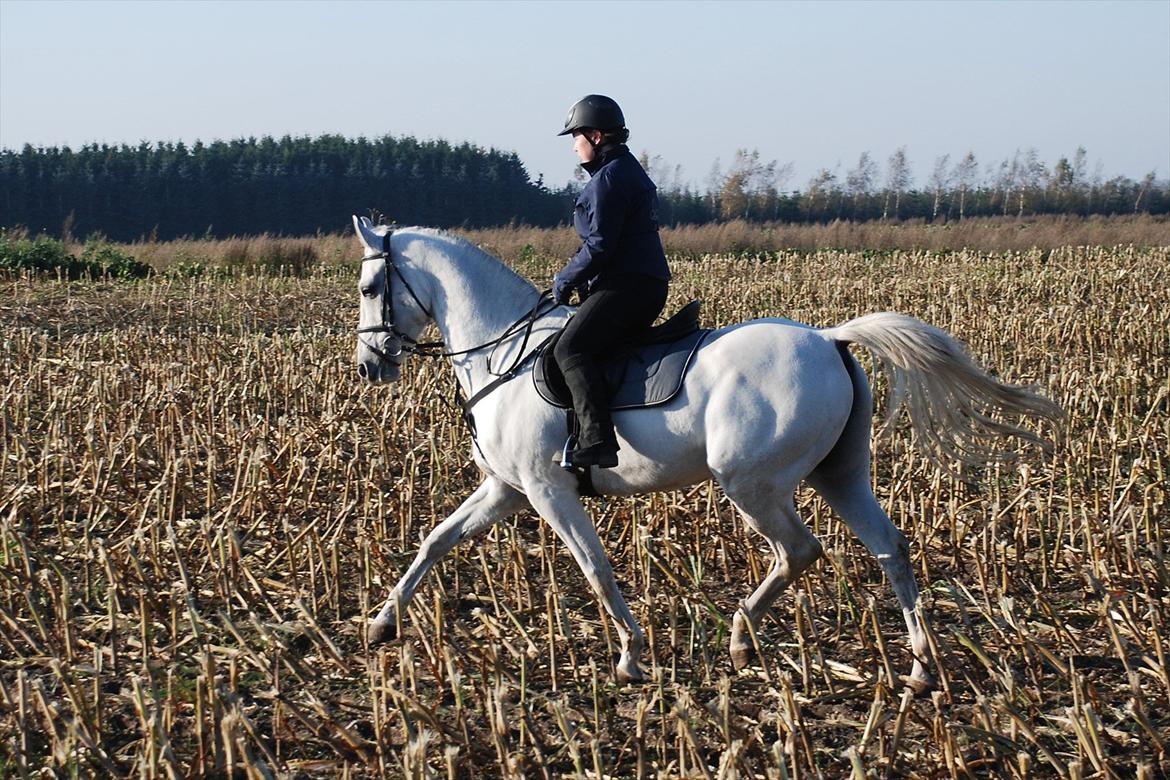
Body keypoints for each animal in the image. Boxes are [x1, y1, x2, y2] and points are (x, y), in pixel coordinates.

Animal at [348, 216, 1062, 692]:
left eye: (367, 287)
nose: (367, 366)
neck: (503, 351)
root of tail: (830, 339)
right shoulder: (507, 488)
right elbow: (436, 540)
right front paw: (381, 625)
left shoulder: (548, 491)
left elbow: (595, 569)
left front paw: (632, 655)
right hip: (839, 476)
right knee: (890, 546)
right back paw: (918, 668)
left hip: (751, 483)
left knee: (799, 550)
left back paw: (744, 638)